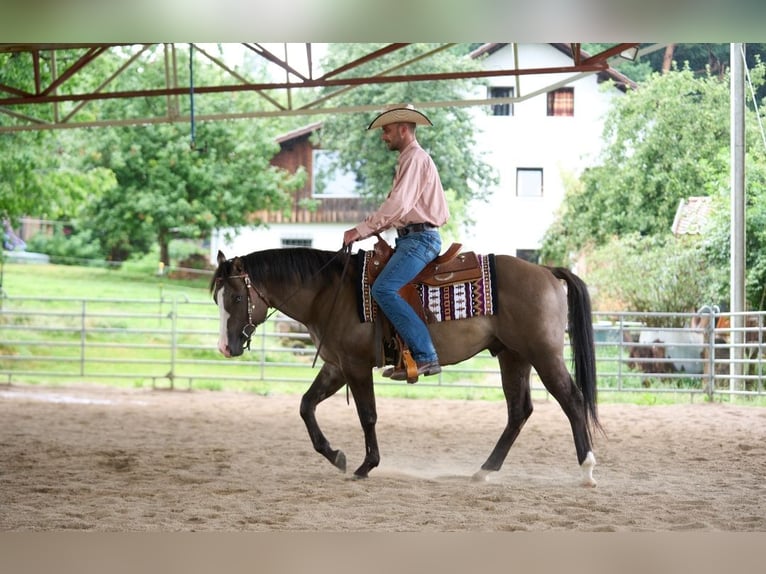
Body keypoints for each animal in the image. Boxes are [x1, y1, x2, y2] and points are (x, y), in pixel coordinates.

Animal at [211, 246, 602, 486]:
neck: (328, 292)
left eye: (236, 297)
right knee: (519, 411)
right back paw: (484, 471)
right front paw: (336, 456)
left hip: (544, 354)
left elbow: (367, 415)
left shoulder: (355, 366)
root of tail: (546, 271)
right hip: (513, 356)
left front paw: (366, 466)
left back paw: (586, 469)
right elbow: (306, 406)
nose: (226, 348)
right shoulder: (336, 365)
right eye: (217, 298)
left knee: (571, 400)